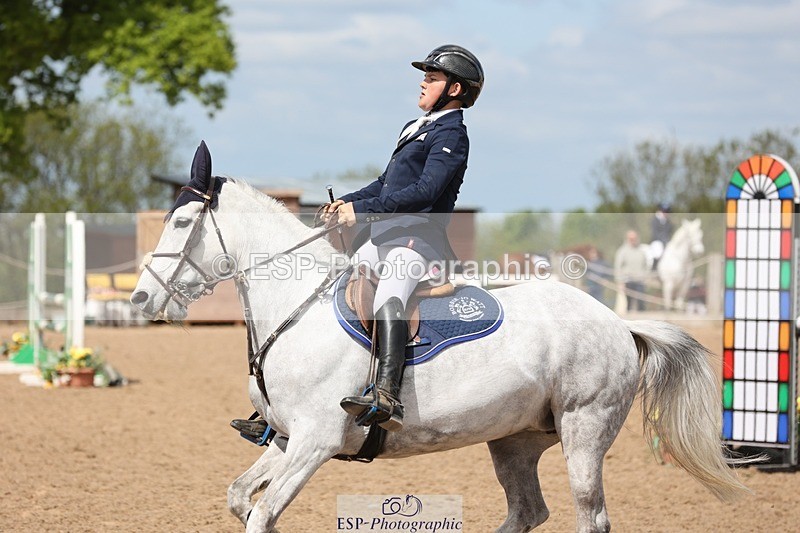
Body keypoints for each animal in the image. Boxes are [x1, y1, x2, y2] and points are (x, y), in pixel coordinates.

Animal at [130, 146, 746, 532]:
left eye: (180, 224)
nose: (139, 300)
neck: (297, 307)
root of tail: (619, 322)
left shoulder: (315, 441)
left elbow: (261, 514)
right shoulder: (285, 439)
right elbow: (242, 499)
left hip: (584, 432)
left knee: (589, 517)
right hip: (516, 440)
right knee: (529, 511)